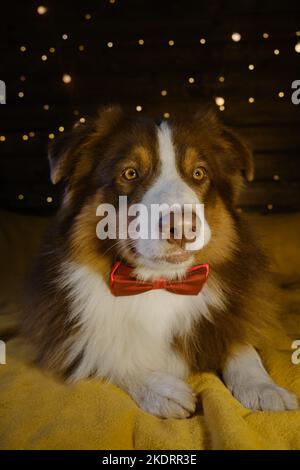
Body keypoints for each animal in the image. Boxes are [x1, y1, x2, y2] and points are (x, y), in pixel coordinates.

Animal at [22, 106, 298, 418]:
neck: (160, 282)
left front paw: (263, 387)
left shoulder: (233, 313)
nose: (183, 227)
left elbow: (240, 346)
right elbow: (103, 353)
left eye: (199, 173)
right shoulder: (62, 332)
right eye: (130, 173)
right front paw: (159, 389)